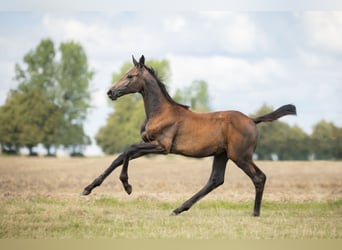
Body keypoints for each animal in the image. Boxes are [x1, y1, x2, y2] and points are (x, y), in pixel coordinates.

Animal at [83, 55, 296, 216]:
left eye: (130, 76)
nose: (111, 92)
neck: (160, 111)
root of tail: (252, 120)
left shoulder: (162, 146)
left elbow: (128, 150)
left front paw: (127, 186)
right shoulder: (150, 145)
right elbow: (120, 157)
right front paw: (88, 188)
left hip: (240, 156)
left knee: (259, 177)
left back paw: (255, 213)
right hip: (222, 155)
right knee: (215, 180)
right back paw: (178, 209)